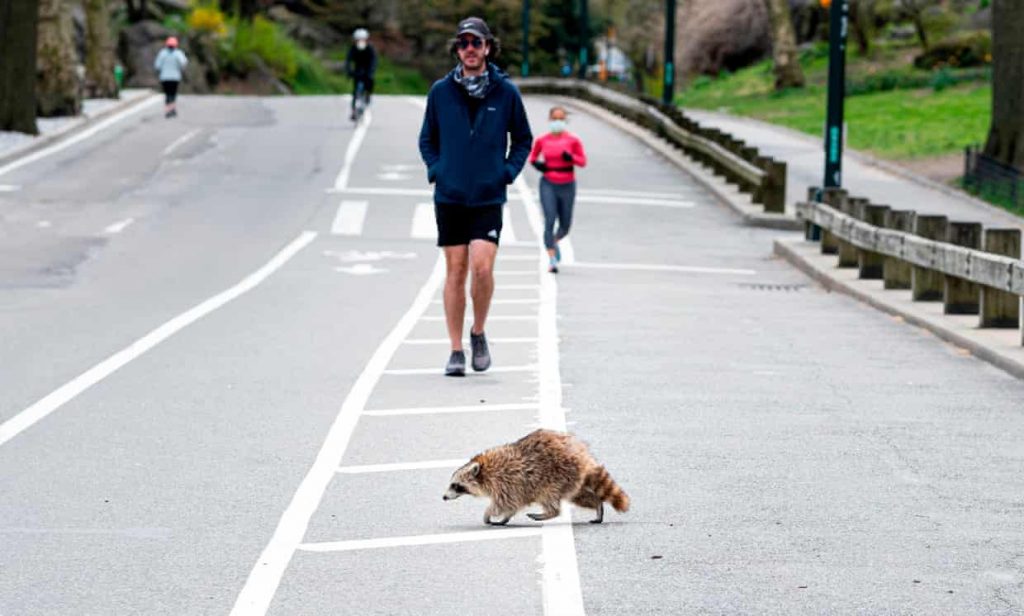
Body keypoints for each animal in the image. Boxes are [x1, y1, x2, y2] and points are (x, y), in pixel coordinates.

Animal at [442, 427, 626, 521]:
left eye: (455, 485)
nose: (443, 497)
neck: (484, 470)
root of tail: (582, 454)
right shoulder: (512, 486)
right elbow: (512, 504)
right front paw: (506, 517)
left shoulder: (505, 481)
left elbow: (504, 503)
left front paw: (488, 514)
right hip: (573, 480)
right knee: (580, 496)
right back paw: (597, 504)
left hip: (558, 474)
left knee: (550, 497)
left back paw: (549, 513)